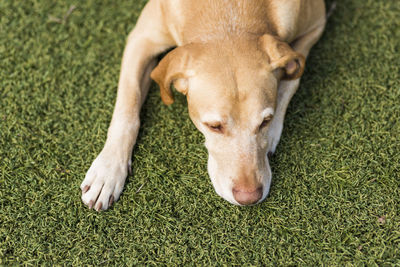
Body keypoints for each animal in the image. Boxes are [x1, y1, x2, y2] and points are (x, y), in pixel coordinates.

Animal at [79, 0, 326, 211]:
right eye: (213, 126)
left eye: (266, 121)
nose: (249, 197)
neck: (229, 15)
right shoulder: (141, 39)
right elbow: (127, 107)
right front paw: (108, 171)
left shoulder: (317, 23)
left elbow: (291, 81)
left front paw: (273, 134)